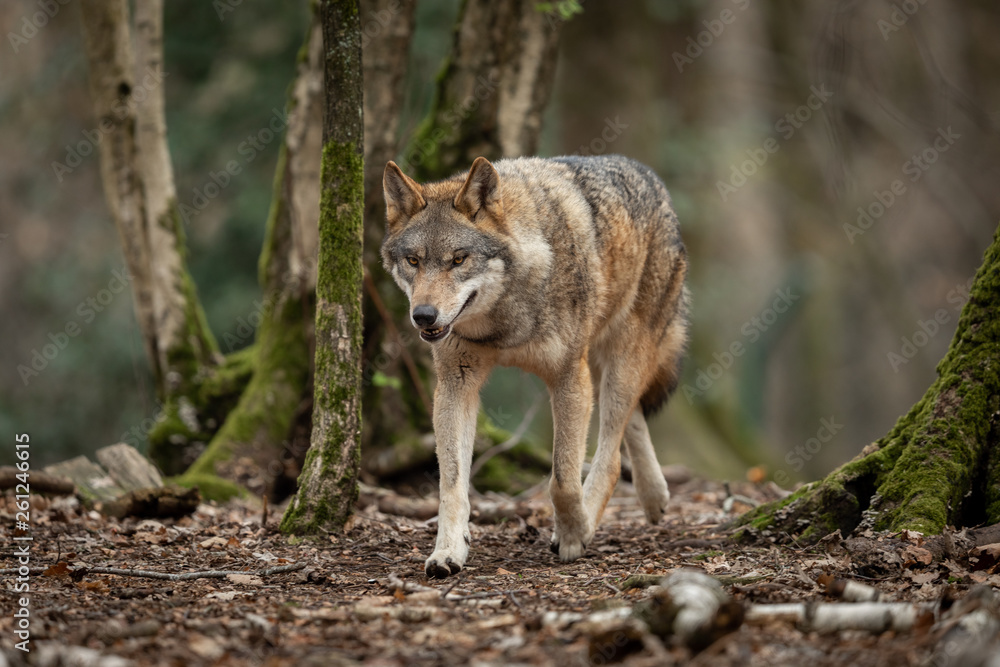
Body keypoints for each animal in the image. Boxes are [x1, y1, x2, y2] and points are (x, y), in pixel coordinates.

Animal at [380, 154, 688, 576]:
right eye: (413, 260)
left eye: (458, 259)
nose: (423, 316)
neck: (504, 325)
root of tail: (646, 173)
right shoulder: (455, 384)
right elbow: (451, 484)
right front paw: (448, 551)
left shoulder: (568, 377)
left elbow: (562, 478)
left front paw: (574, 534)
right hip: (599, 361)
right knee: (631, 419)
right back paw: (655, 496)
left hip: (622, 355)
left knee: (611, 454)